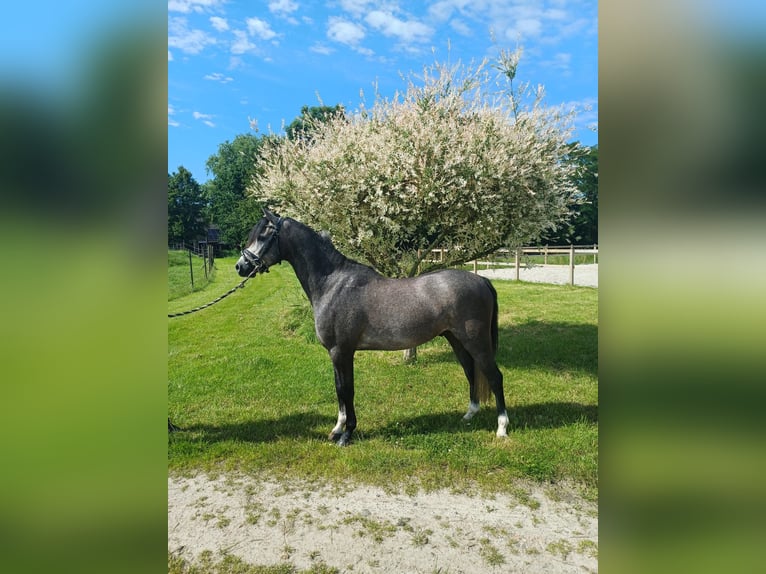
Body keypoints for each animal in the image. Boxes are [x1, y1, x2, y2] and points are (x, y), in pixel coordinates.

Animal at [236, 209, 510, 448]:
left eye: (262, 235)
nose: (241, 266)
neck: (333, 283)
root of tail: (482, 280)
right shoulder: (335, 354)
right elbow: (339, 389)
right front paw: (337, 429)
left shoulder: (342, 351)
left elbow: (347, 390)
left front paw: (347, 434)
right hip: (456, 339)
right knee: (470, 372)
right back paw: (469, 415)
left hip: (476, 341)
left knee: (495, 377)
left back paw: (502, 428)